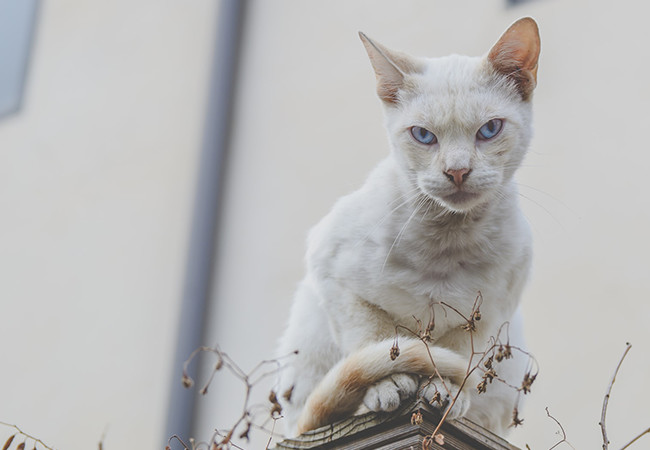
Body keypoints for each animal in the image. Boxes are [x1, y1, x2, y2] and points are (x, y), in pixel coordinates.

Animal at [277, 17, 540, 438]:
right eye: (423, 135)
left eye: (489, 130)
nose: (457, 171)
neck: (446, 243)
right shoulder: (335, 276)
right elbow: (376, 340)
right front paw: (386, 386)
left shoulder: (490, 313)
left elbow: (455, 355)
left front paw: (444, 392)